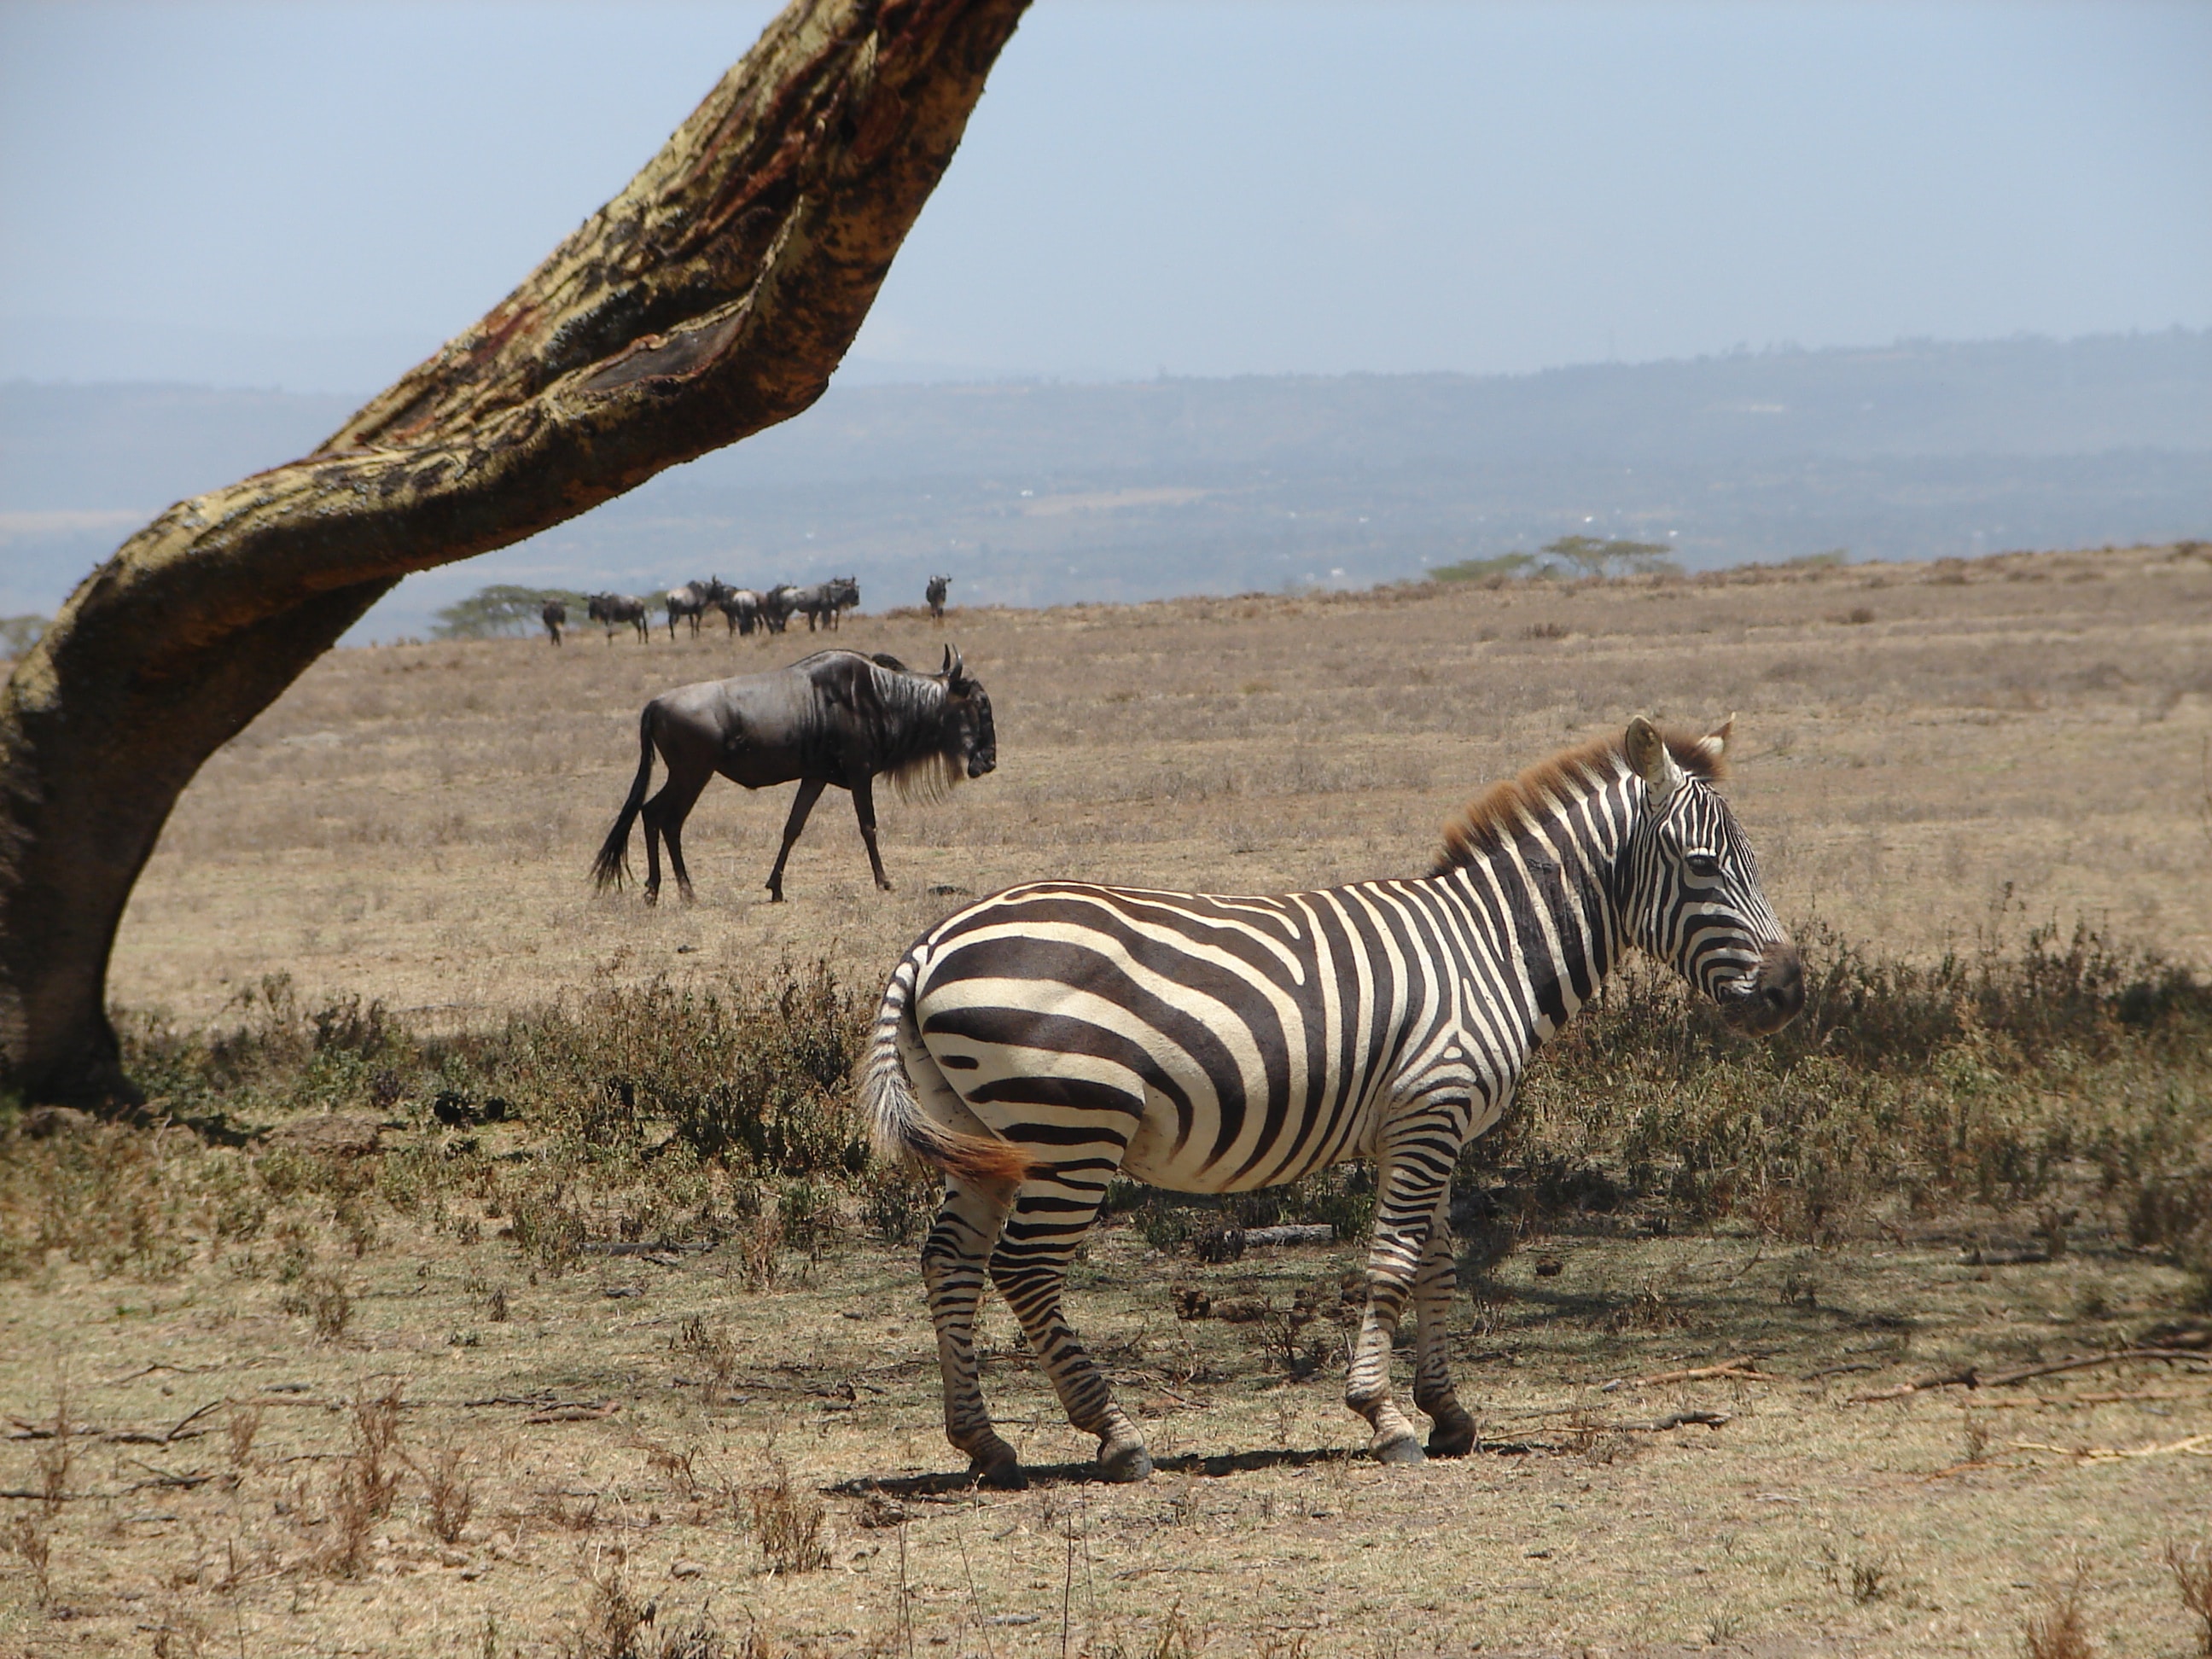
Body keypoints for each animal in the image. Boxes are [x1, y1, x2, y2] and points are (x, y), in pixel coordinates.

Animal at [862, 720, 1796, 1486]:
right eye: (1705, 866)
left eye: (1752, 860)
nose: (1790, 990)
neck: (1490, 947)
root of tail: (929, 945)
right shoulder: (1429, 1110)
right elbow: (1392, 1262)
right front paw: (1386, 1420)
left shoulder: (1425, 1128)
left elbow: (1437, 1264)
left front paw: (1447, 1412)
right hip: (1070, 1128)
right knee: (1024, 1269)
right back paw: (1117, 1436)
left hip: (982, 1133)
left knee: (949, 1261)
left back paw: (984, 1444)